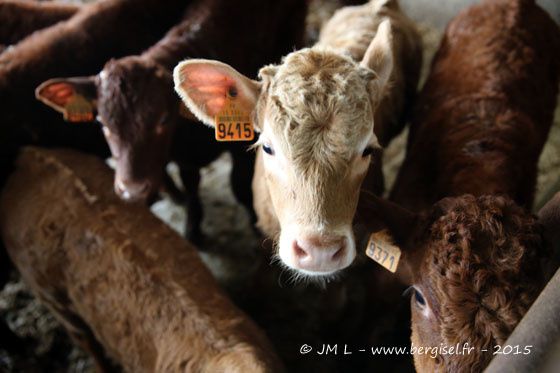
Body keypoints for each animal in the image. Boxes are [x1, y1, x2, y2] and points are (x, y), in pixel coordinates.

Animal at [35, 0, 306, 240]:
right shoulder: (183, 155)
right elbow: (191, 184)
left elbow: (240, 185)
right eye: (102, 124)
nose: (132, 191)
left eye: (164, 120)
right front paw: (193, 225)